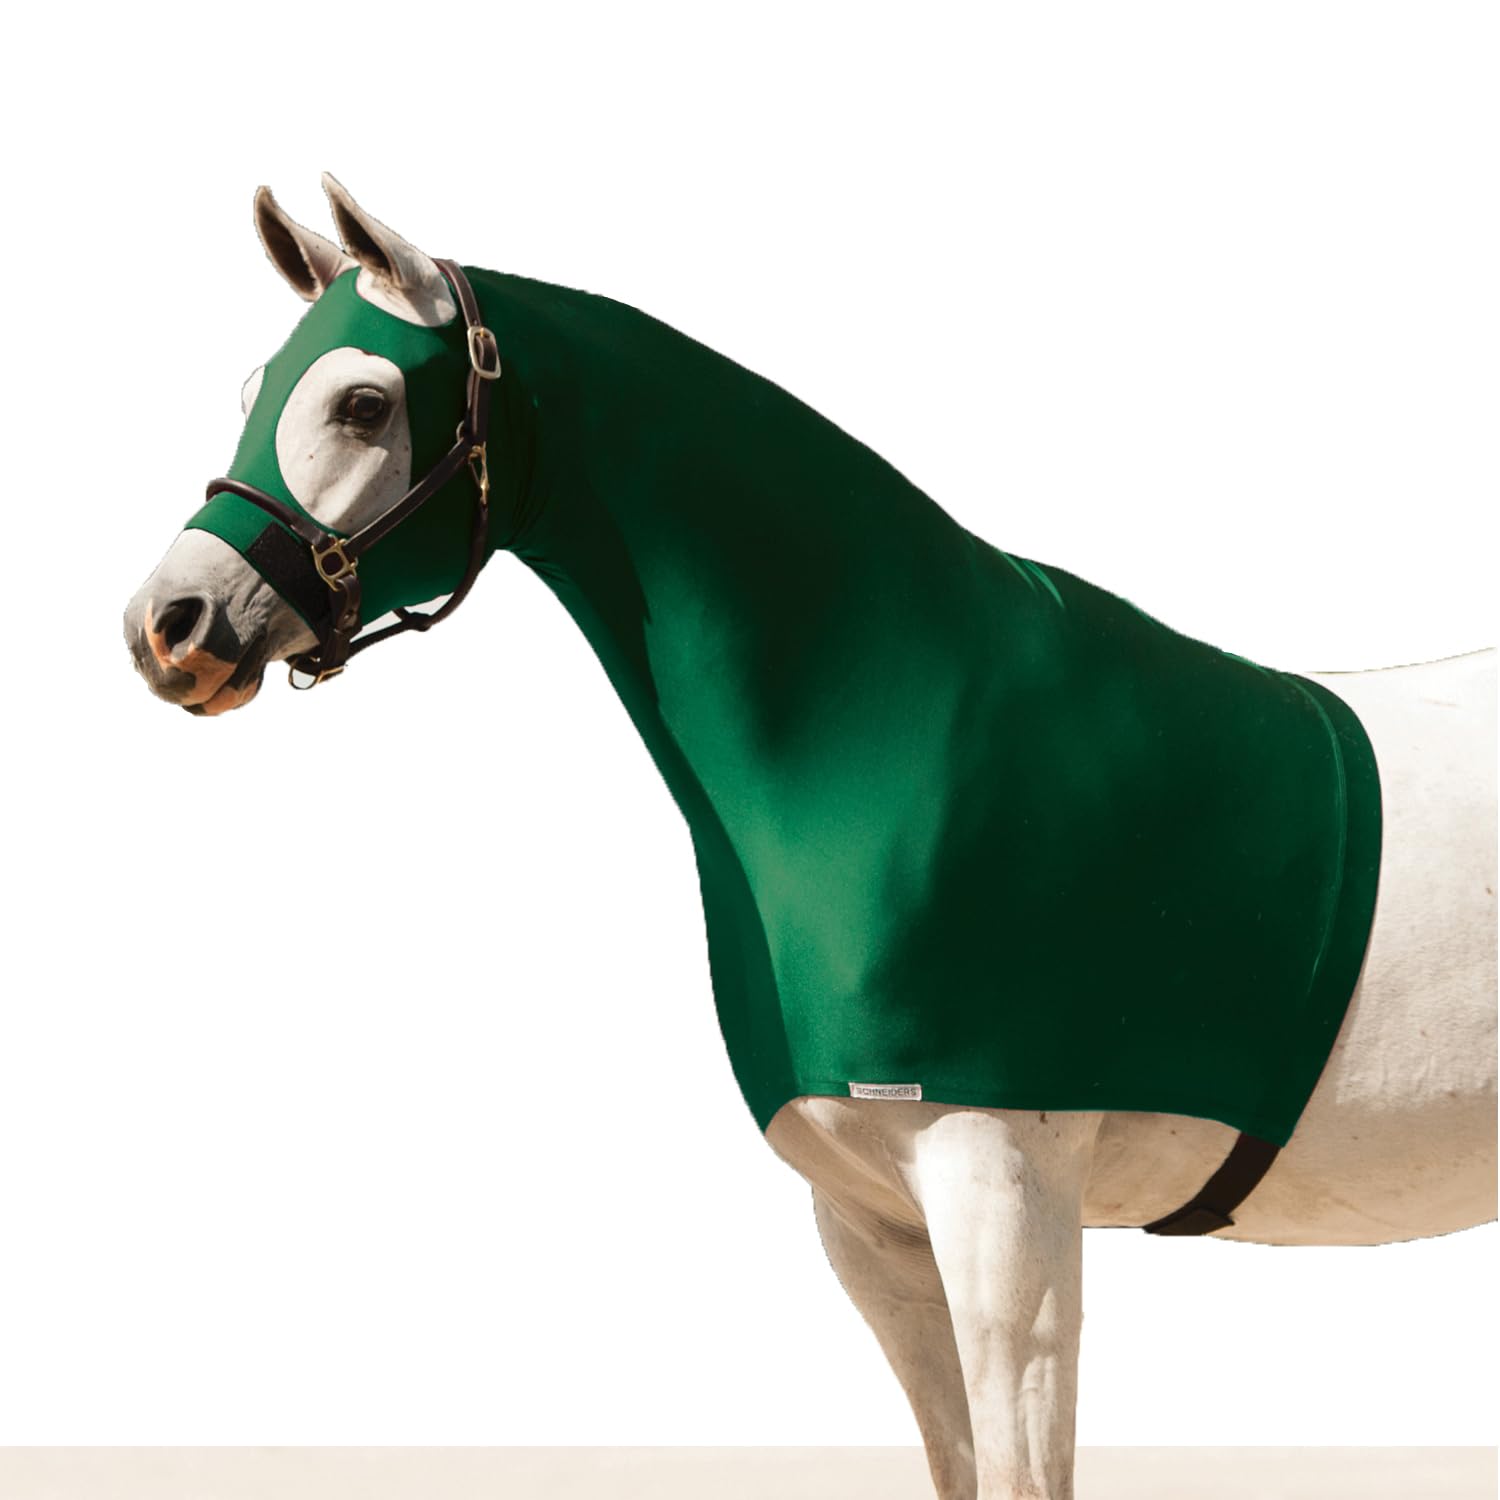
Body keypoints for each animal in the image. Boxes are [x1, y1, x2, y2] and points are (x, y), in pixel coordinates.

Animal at [123, 175, 1496, 1500]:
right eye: (252, 392)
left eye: (362, 402)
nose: (170, 626)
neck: (894, 734)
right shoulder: (872, 1225)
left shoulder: (1006, 1203)